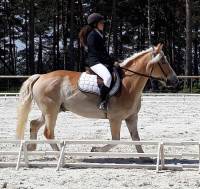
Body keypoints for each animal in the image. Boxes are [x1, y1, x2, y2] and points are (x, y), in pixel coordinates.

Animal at [15, 43, 178, 154]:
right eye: (163, 61)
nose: (175, 80)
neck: (129, 84)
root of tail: (41, 76)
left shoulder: (131, 117)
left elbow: (136, 139)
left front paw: (146, 158)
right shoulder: (115, 118)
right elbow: (115, 141)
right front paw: (95, 149)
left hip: (51, 110)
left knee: (34, 124)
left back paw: (31, 148)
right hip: (51, 111)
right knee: (48, 133)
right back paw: (59, 156)